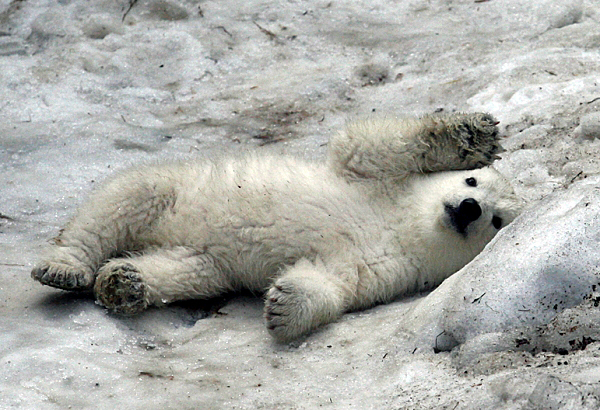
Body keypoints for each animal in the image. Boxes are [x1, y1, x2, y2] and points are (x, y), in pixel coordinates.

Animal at [32, 113, 520, 342]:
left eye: (497, 221)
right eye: (472, 182)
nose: (469, 209)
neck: (404, 225)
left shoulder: (388, 265)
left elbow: (336, 281)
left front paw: (285, 305)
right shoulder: (374, 180)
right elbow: (373, 145)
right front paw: (471, 137)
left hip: (203, 260)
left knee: (184, 272)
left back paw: (123, 282)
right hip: (176, 192)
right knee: (120, 202)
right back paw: (66, 268)